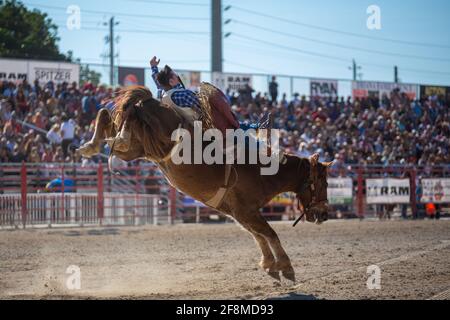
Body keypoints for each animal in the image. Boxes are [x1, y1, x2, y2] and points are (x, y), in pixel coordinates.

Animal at [77, 84, 330, 282]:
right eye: (324, 183)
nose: (325, 214)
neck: (263, 171)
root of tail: (151, 100)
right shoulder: (246, 211)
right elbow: (270, 233)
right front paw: (286, 267)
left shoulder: (239, 213)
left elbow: (258, 235)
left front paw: (269, 264)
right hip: (153, 141)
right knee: (119, 130)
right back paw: (102, 142)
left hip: (140, 147)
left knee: (109, 117)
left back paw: (90, 145)